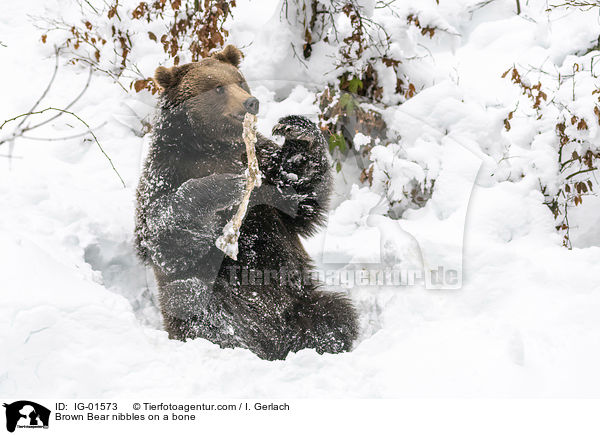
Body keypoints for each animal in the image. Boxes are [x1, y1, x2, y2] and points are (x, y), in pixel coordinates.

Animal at [134, 44, 358, 362]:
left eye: (240, 81)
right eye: (217, 88)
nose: (251, 102)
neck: (213, 147)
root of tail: (273, 340)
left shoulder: (266, 166)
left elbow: (300, 200)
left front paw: (298, 130)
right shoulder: (165, 173)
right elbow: (162, 235)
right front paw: (225, 186)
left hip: (298, 298)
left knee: (332, 313)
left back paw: (319, 342)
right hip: (215, 299)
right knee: (200, 307)